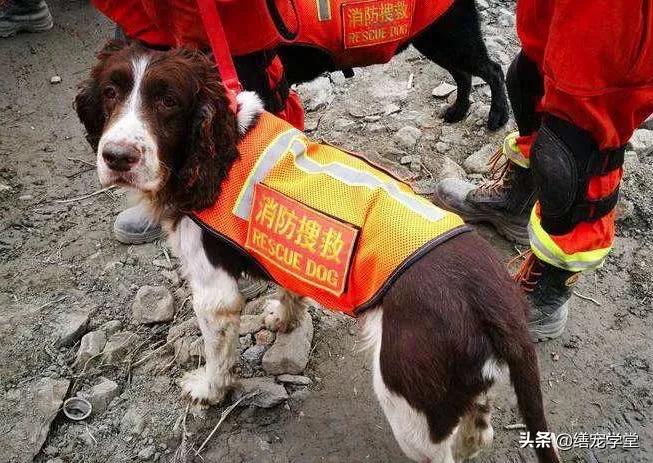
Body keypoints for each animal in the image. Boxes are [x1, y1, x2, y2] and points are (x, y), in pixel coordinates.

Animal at [75, 41, 556, 462]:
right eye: (111, 92)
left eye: (169, 101)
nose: (117, 156)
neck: (221, 146)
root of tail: (496, 298)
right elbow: (290, 289)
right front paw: (284, 318)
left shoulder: (213, 293)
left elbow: (218, 355)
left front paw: (209, 390)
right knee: (479, 430)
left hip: (406, 395)